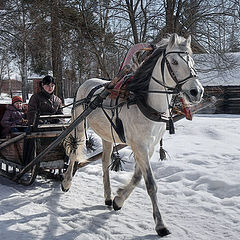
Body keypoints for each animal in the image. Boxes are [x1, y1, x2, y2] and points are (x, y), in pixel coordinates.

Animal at [61, 33, 203, 236]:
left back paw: (107, 196)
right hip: (79, 125)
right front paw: (160, 225)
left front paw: (118, 199)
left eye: (192, 61)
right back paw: (66, 182)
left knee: (104, 162)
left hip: (107, 135)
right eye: (174, 61)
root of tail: (87, 82)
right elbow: (151, 184)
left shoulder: (148, 146)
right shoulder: (140, 146)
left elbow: (137, 177)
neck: (146, 102)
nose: (196, 91)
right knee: (74, 150)